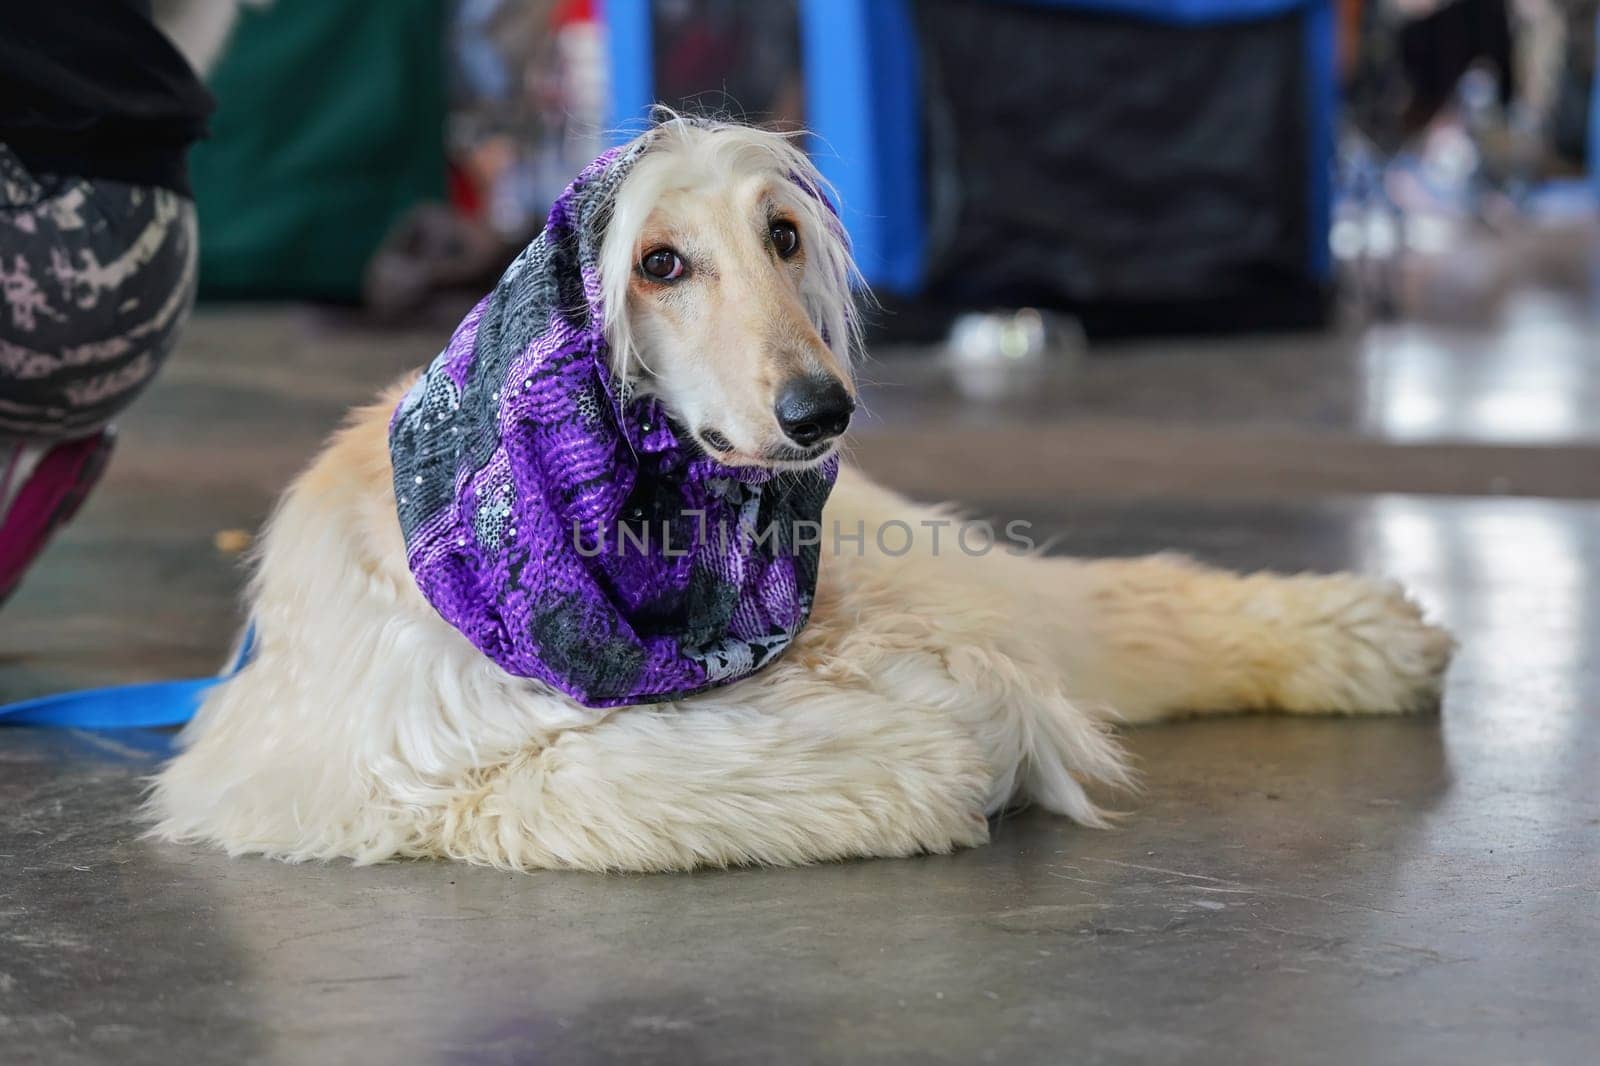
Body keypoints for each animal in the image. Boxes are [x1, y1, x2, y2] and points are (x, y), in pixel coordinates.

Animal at [147, 120, 1452, 870]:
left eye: (781, 234)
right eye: (657, 262)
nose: (821, 410)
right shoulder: (389, 758)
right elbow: (637, 771)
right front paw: (950, 748)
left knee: (1109, 603)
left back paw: (1365, 639)